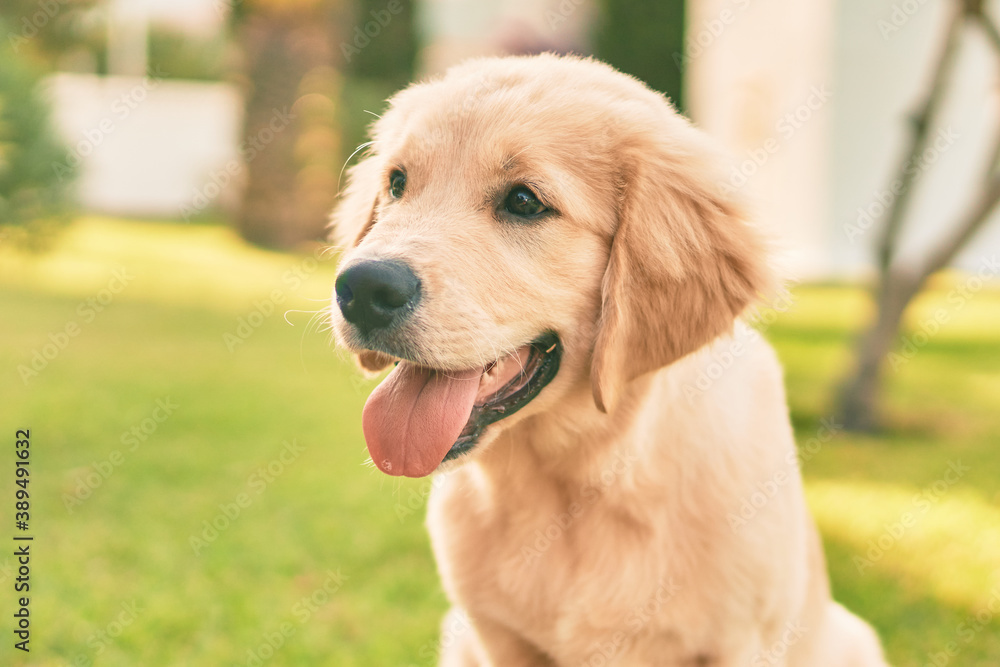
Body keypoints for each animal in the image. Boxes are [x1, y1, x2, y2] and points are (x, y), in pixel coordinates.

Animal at [332, 53, 888, 667]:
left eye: (524, 201)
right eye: (397, 184)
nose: (362, 288)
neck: (583, 473)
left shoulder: (745, 642)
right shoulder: (496, 638)